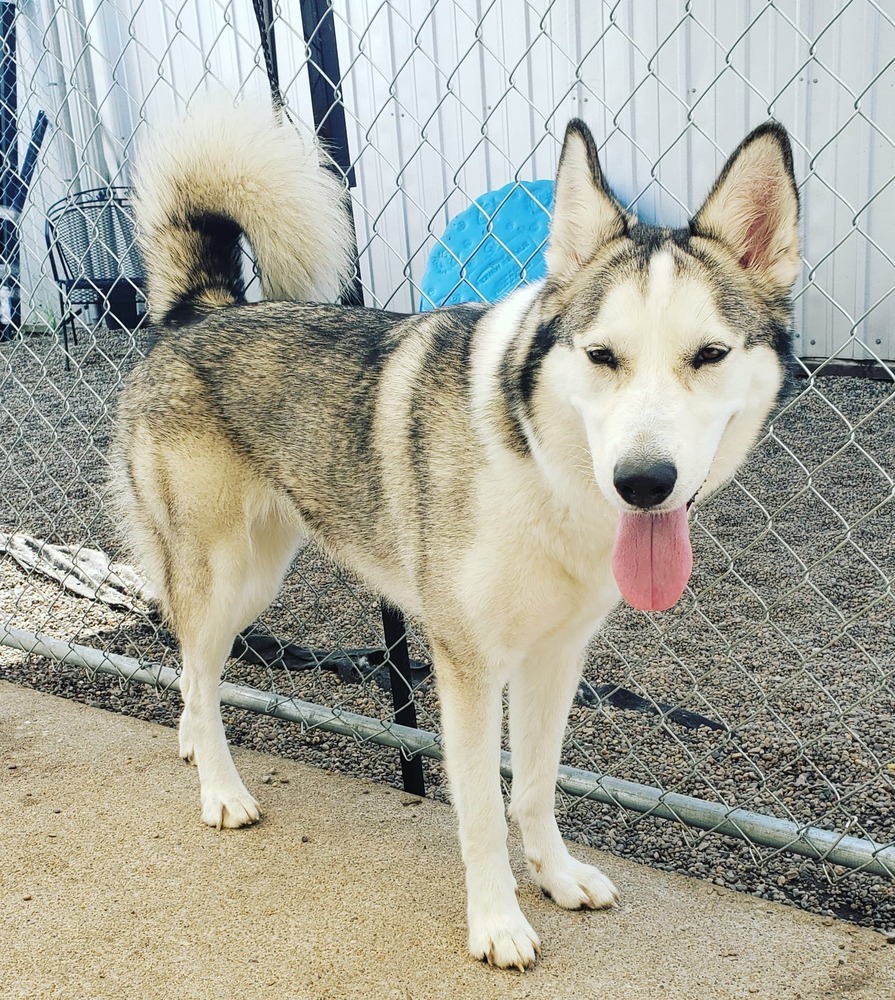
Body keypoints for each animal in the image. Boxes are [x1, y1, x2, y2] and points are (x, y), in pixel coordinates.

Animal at [108, 101, 800, 968]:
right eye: (601, 355)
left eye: (708, 355)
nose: (643, 481)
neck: (540, 466)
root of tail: (201, 311)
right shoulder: (466, 666)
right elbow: (478, 811)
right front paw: (497, 922)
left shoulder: (553, 659)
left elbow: (533, 787)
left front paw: (556, 877)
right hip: (225, 574)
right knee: (199, 671)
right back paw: (221, 790)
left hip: (255, 576)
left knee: (191, 672)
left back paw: (193, 745)